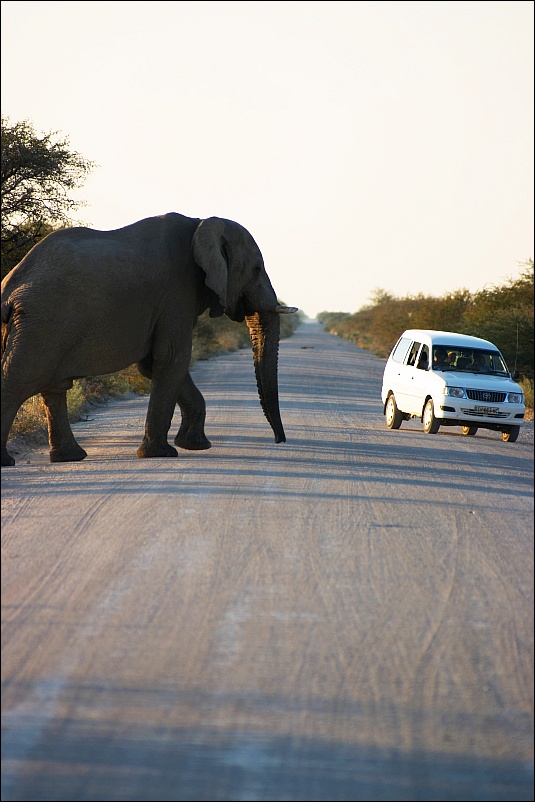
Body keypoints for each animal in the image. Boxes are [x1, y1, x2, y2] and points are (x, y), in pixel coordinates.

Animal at [1, 209, 298, 466]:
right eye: (256, 269)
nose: (279, 441)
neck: (201, 223)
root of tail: (10, 284)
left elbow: (154, 364)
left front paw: (194, 445)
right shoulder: (176, 292)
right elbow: (172, 358)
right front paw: (162, 453)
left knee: (53, 387)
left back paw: (70, 457)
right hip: (44, 320)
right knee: (20, 379)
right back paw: (10, 461)